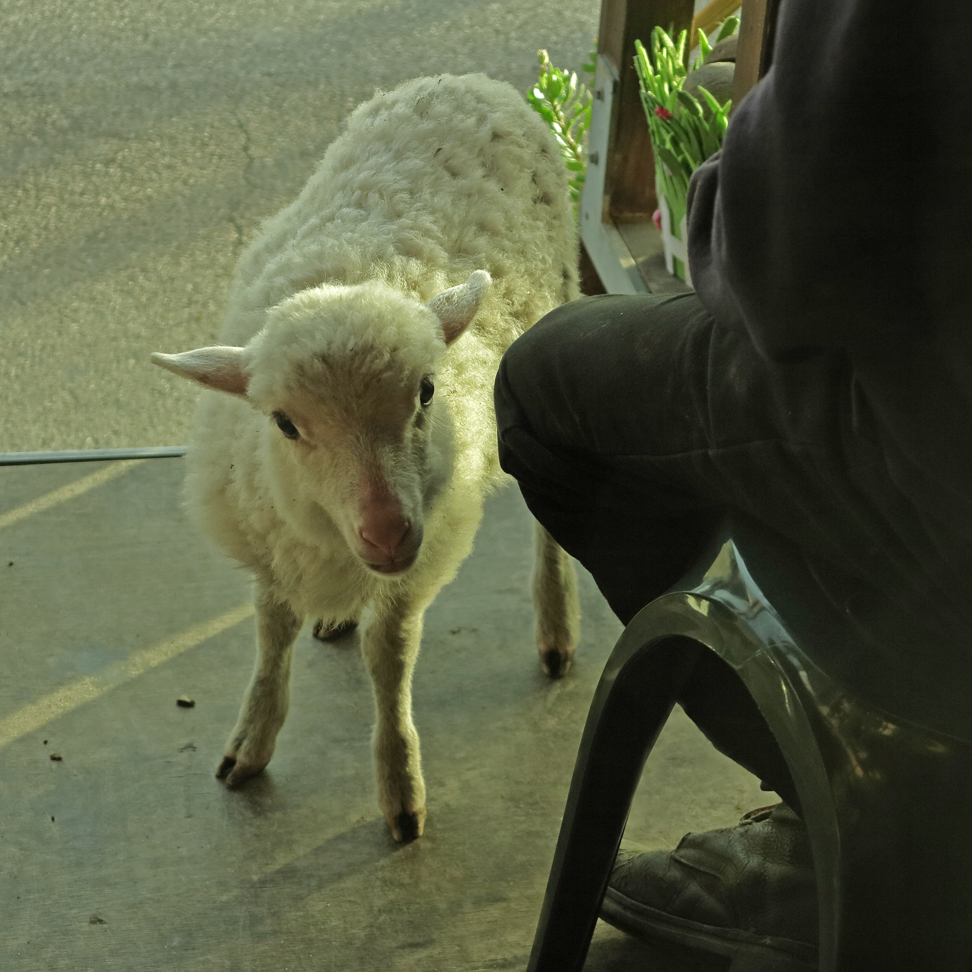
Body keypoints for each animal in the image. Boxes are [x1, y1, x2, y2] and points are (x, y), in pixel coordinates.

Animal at [148, 72, 580, 840]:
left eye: (427, 391)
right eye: (284, 423)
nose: (387, 532)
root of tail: (466, 79)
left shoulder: (423, 558)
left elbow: (390, 658)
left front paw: (399, 784)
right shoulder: (272, 544)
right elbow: (272, 635)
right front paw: (251, 742)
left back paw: (556, 626)